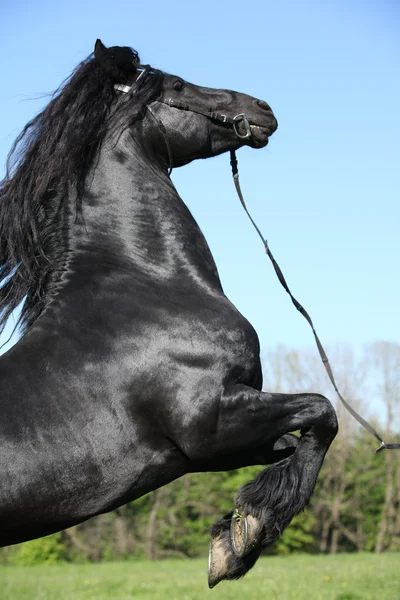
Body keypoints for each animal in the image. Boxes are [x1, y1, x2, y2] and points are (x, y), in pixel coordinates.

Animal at [0, 42, 338, 584]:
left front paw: (234, 533)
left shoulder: (214, 447)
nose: (262, 108)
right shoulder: (214, 424)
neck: (149, 284)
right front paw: (245, 537)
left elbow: (294, 444)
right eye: (177, 85)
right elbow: (323, 413)